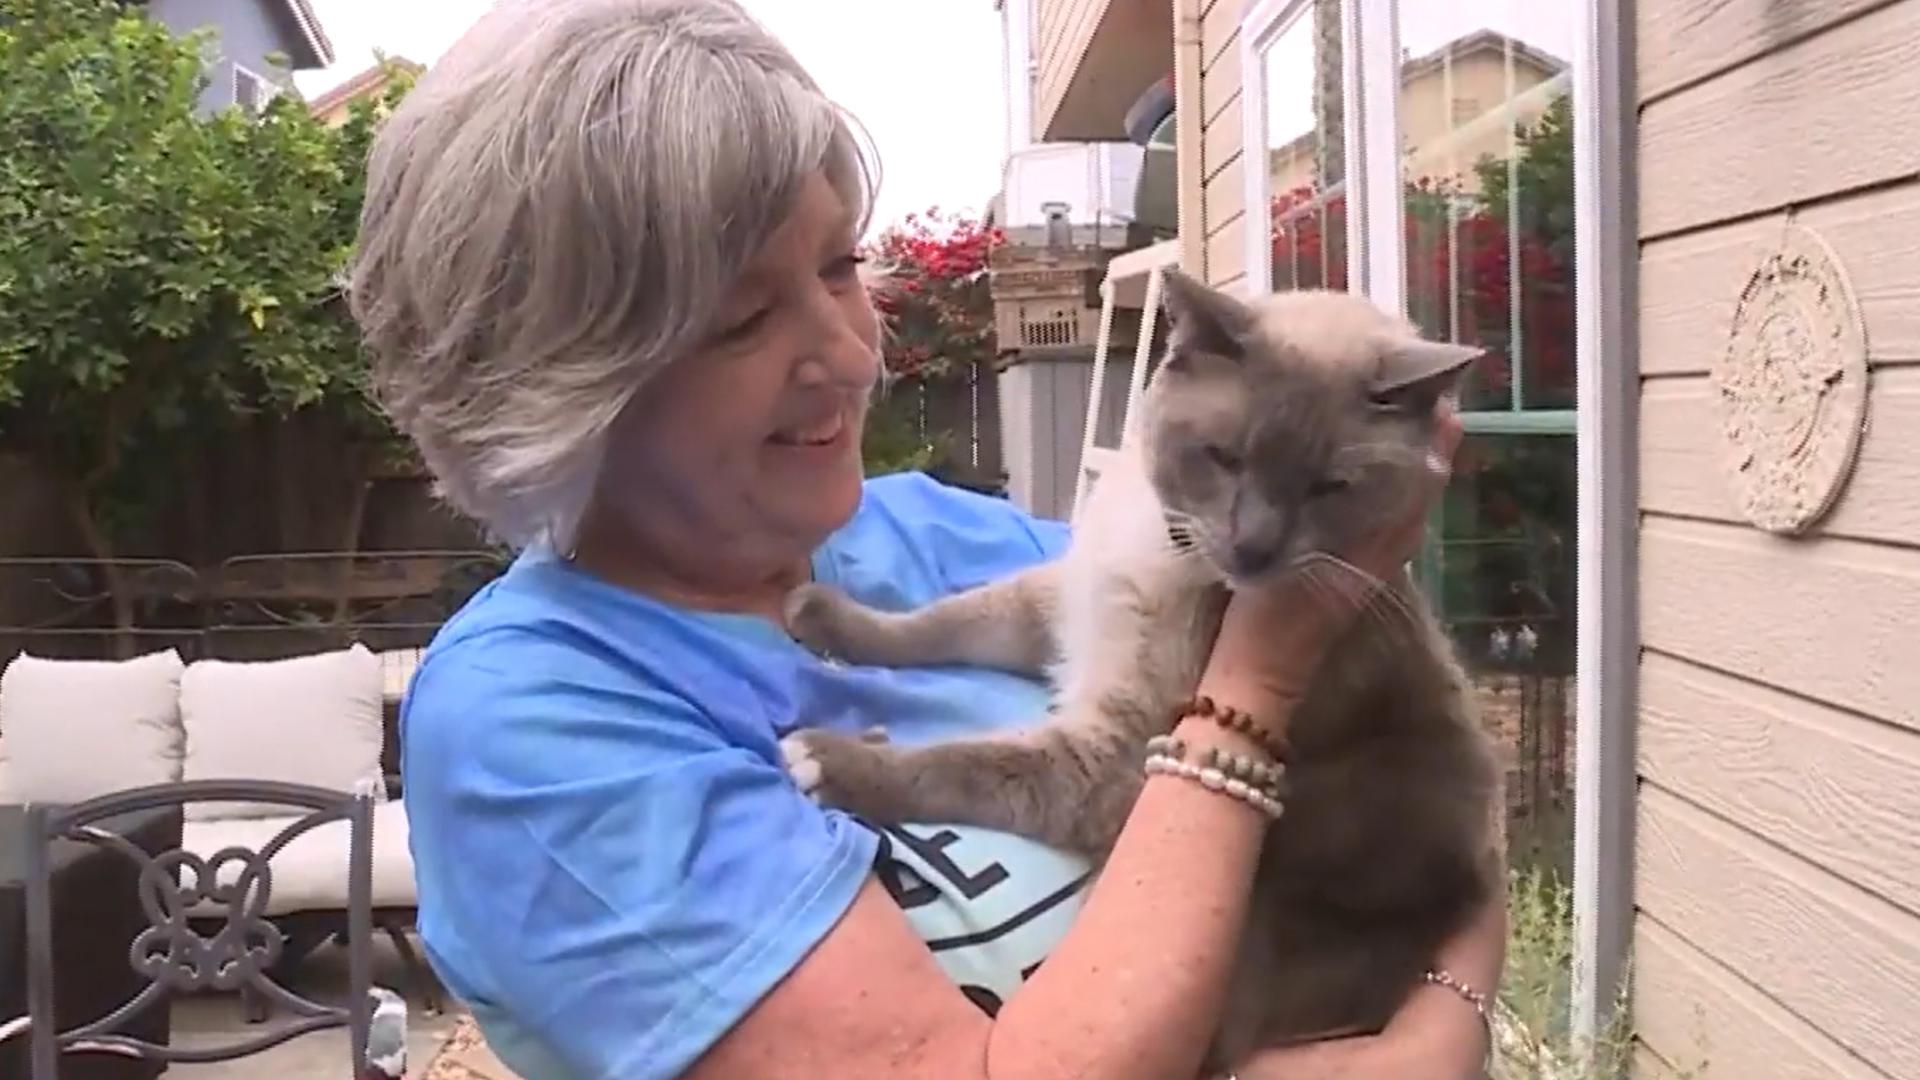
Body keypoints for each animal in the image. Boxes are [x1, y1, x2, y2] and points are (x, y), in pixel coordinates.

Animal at [775, 267, 1497, 1060]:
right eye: (1225, 457)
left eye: (1327, 488)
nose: (1254, 549)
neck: (1165, 550)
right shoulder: (1060, 608)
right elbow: (941, 622)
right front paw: (818, 614)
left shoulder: (1113, 752)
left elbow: (959, 762)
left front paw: (824, 758)